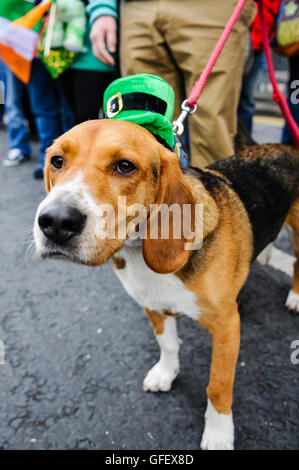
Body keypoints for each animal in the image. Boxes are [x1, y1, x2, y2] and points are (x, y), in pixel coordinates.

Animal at [33, 119, 299, 450]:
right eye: (57, 161)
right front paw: (166, 373)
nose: (55, 222)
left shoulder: (227, 327)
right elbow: (169, 344)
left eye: (125, 166)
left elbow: (218, 385)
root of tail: (283, 146)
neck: (139, 253)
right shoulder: (153, 305)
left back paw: (295, 296)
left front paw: (219, 432)